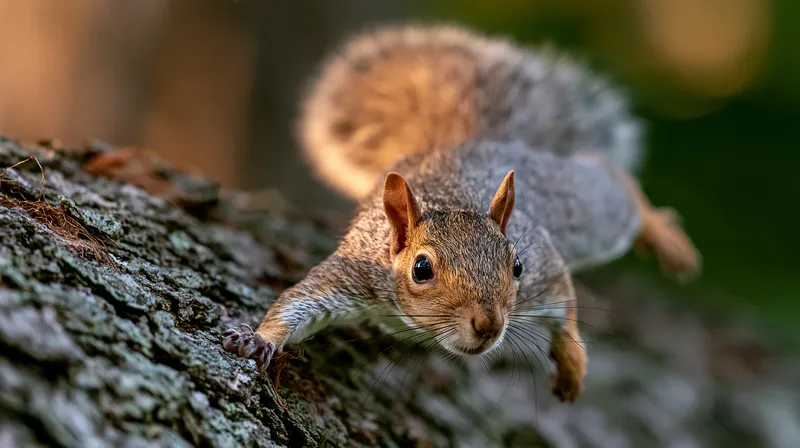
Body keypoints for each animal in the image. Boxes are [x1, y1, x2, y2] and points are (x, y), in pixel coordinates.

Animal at [221, 24, 701, 403]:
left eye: (517, 266)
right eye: (421, 269)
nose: (488, 325)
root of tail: (457, 142)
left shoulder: (543, 264)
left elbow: (565, 300)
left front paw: (571, 361)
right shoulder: (354, 274)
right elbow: (297, 302)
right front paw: (256, 339)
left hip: (580, 209)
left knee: (611, 181)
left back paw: (664, 236)